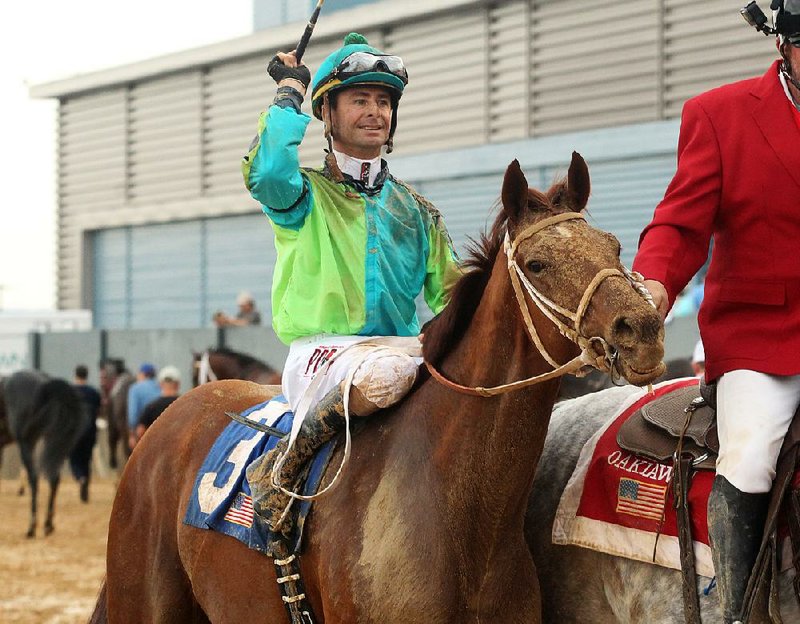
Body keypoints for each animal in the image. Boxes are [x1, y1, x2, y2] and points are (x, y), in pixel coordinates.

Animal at [0, 370, 87, 536]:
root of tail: (45, 382)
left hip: (27, 442)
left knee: (34, 479)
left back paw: (32, 528)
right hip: (51, 441)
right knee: (54, 479)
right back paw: (48, 525)